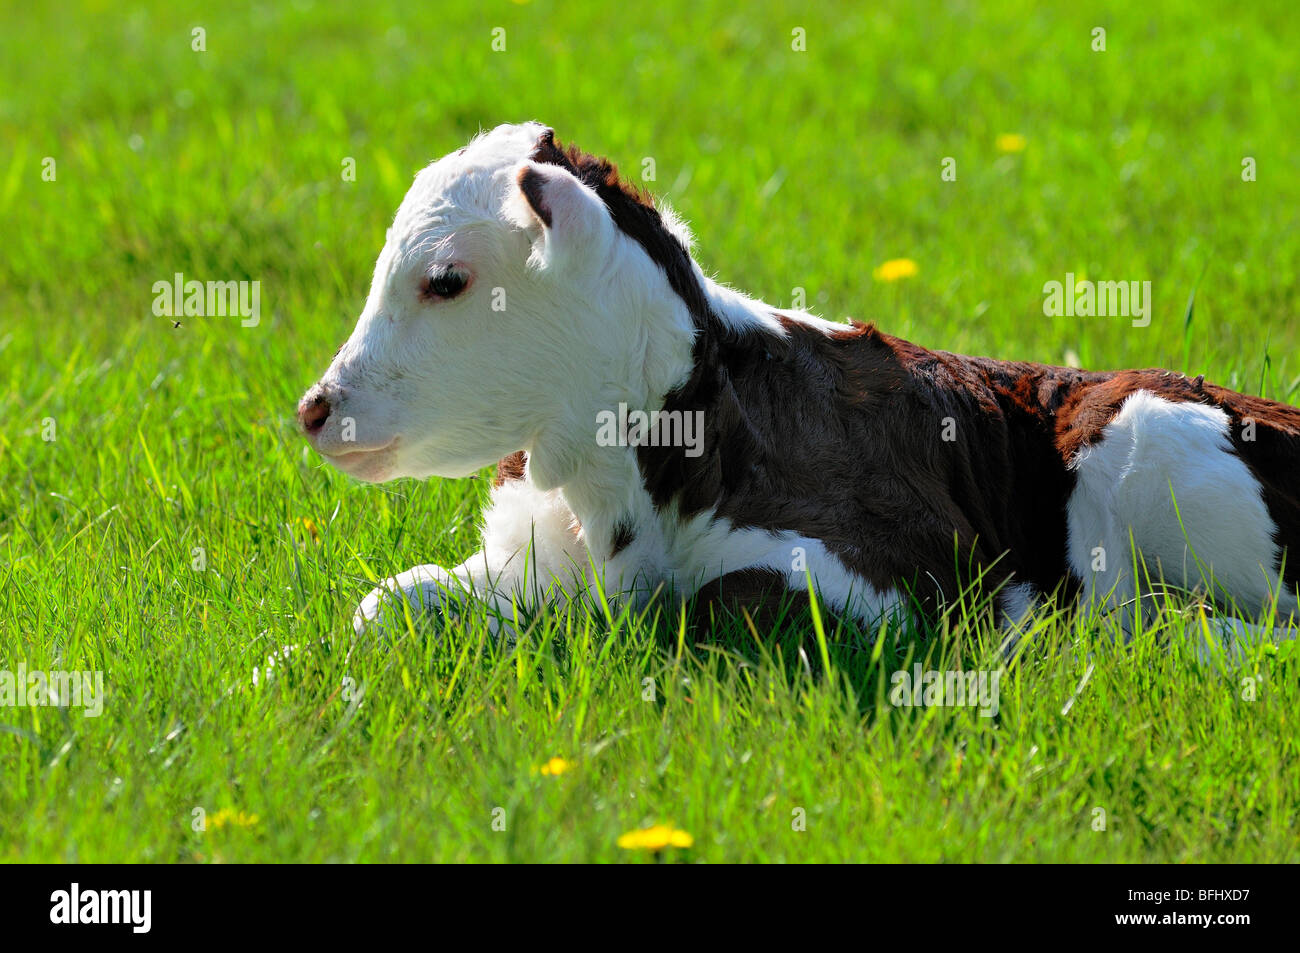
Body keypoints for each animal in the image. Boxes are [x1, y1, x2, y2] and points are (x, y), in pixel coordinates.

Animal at [299, 117, 1300, 639]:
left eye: (447, 279)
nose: (314, 407)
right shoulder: (523, 554)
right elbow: (388, 600)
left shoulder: (910, 565)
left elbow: (726, 603)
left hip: (1150, 437)